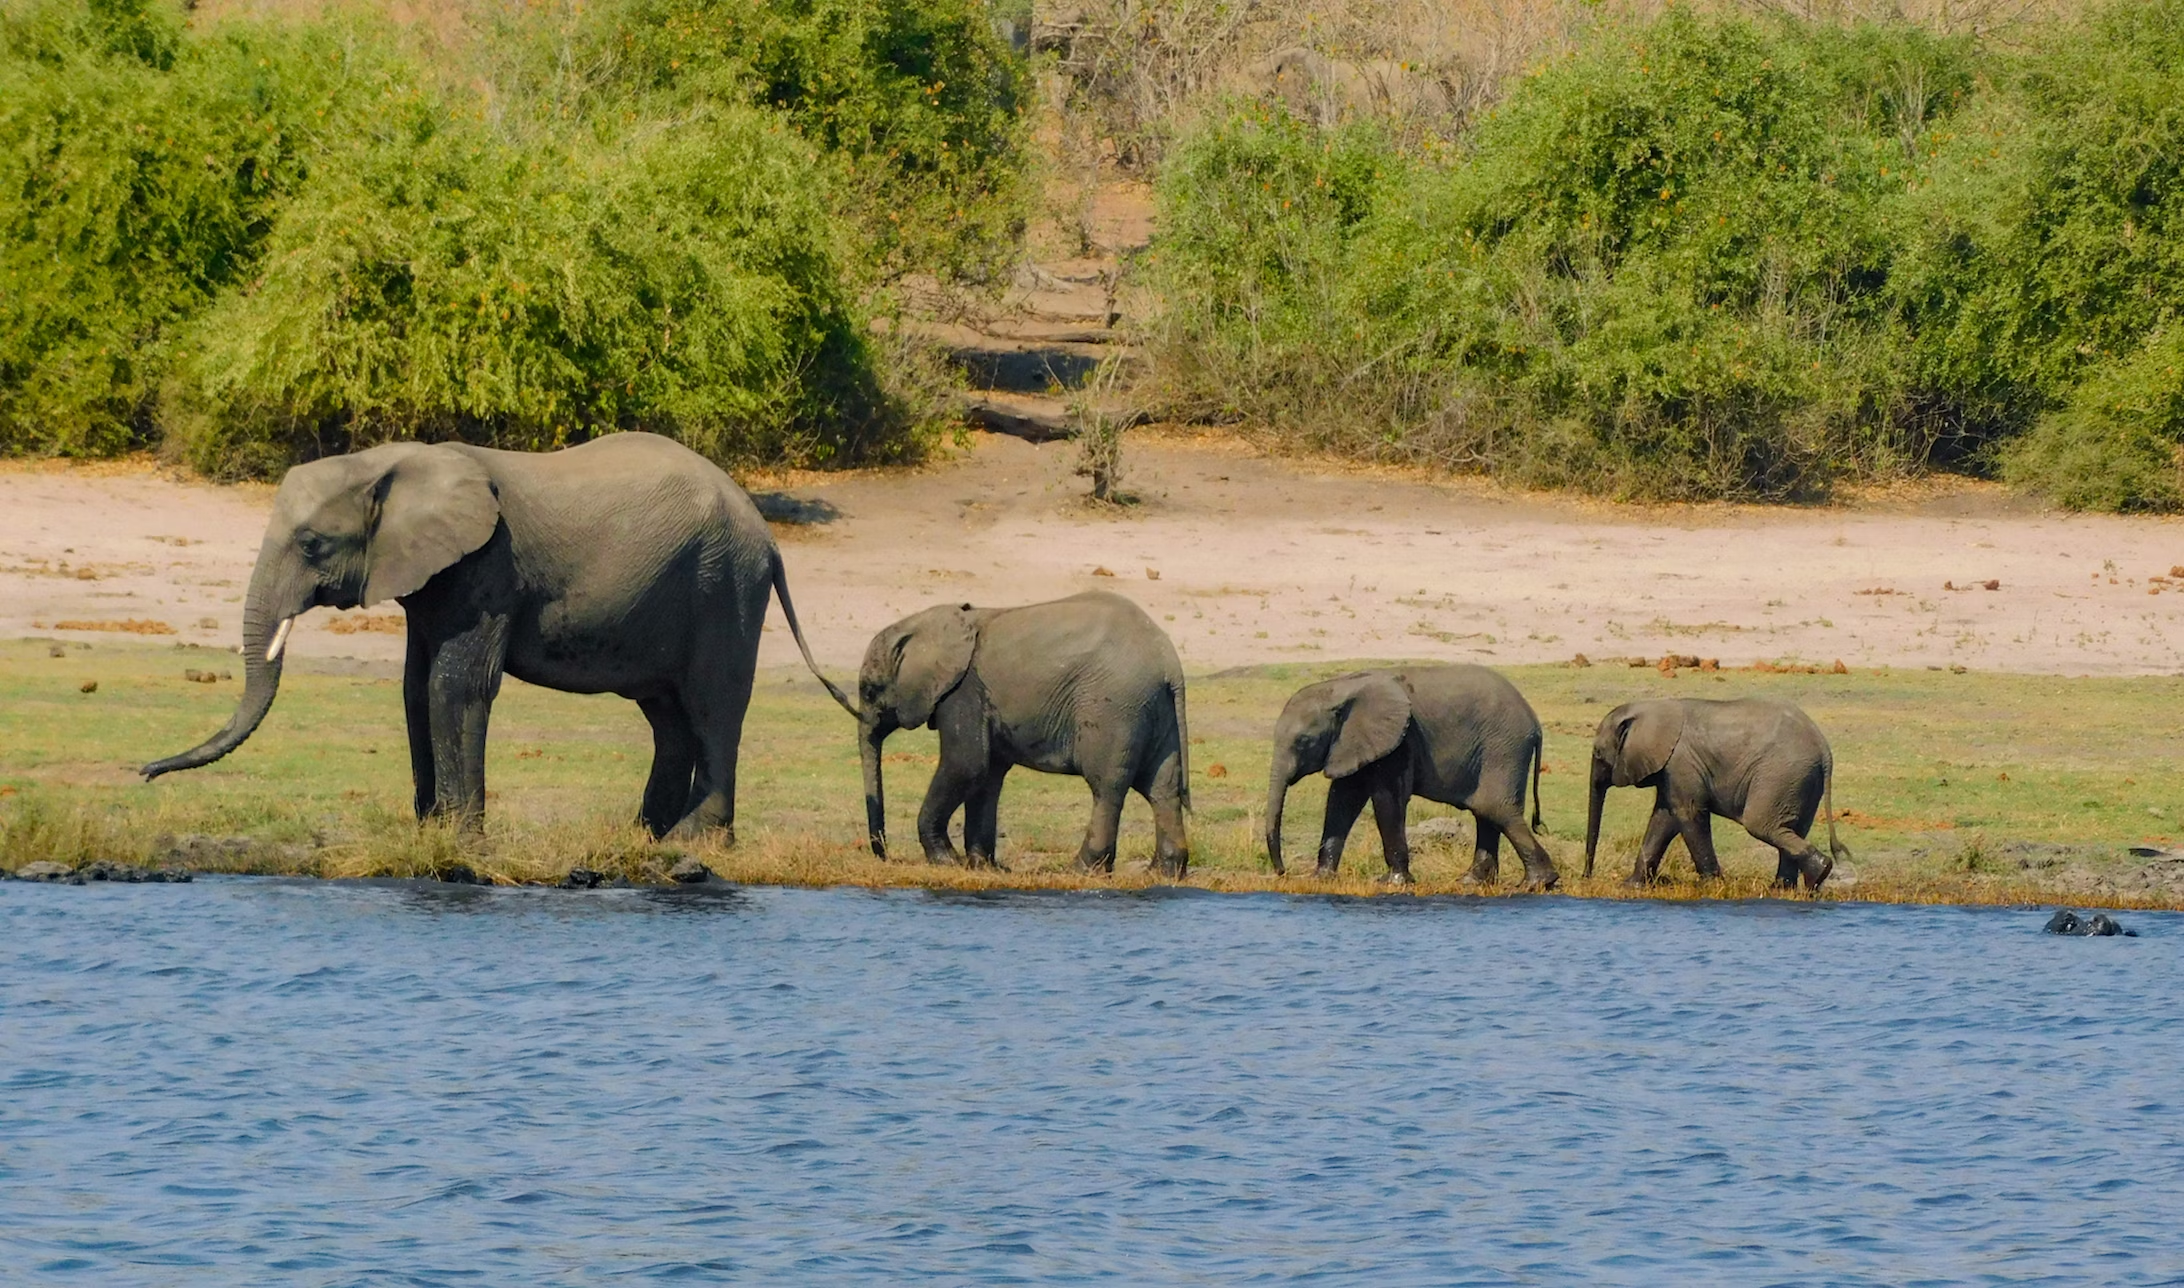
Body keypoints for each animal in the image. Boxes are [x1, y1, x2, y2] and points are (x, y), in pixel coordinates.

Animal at [138, 436, 851, 838]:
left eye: (312, 545)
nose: (143, 773)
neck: (387, 462)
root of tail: (768, 535)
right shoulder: (434, 577)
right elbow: (414, 689)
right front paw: (430, 833)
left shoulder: (487, 565)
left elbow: (455, 687)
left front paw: (461, 840)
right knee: (669, 717)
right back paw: (645, 836)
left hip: (723, 583)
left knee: (712, 708)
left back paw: (693, 843)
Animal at [856, 593, 1196, 877]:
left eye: (869, 691)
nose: (885, 856)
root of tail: (1169, 666)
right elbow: (986, 775)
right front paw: (984, 867)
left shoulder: (963, 689)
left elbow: (966, 765)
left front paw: (947, 862)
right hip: (1155, 709)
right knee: (1162, 788)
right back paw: (1162, 873)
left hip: (1114, 708)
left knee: (1107, 788)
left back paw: (1081, 870)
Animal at [1266, 668, 1555, 890]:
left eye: (1304, 742)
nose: (1283, 871)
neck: (1342, 687)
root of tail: (1535, 722)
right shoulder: (1353, 742)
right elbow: (1342, 800)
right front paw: (1321, 878)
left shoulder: (1401, 739)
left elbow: (1387, 800)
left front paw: (1393, 883)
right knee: (1486, 812)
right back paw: (1472, 883)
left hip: (1504, 749)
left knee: (1496, 809)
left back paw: (1538, 884)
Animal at [1589, 702, 1843, 895]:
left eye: (1598, 754)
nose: (1586, 876)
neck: (1651, 708)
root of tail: (1824, 749)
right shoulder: (1671, 769)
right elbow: (1664, 819)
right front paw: (1630, 886)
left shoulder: (1681, 763)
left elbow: (1687, 814)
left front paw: (1712, 886)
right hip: (1801, 780)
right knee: (1792, 828)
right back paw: (1787, 888)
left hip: (1781, 775)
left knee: (1762, 825)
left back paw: (1815, 875)